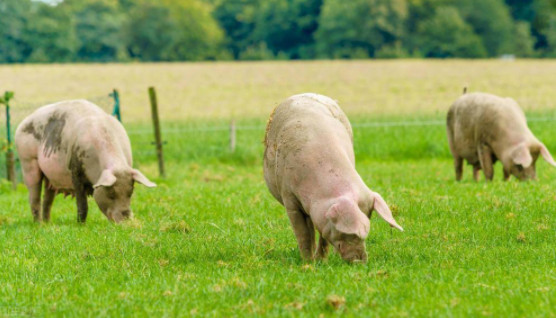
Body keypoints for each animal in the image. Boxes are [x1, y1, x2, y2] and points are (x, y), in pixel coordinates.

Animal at [15, 100, 154, 224]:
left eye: (130, 193)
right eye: (111, 194)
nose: (126, 220)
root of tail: (21, 124)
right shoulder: (75, 170)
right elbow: (82, 204)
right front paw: (80, 225)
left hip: (50, 176)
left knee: (47, 199)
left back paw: (48, 223)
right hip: (27, 162)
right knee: (34, 197)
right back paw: (38, 224)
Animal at [262, 93, 402, 262]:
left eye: (369, 217)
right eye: (349, 233)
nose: (360, 261)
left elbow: (322, 234)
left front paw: (321, 260)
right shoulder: (289, 198)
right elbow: (302, 234)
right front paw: (308, 262)